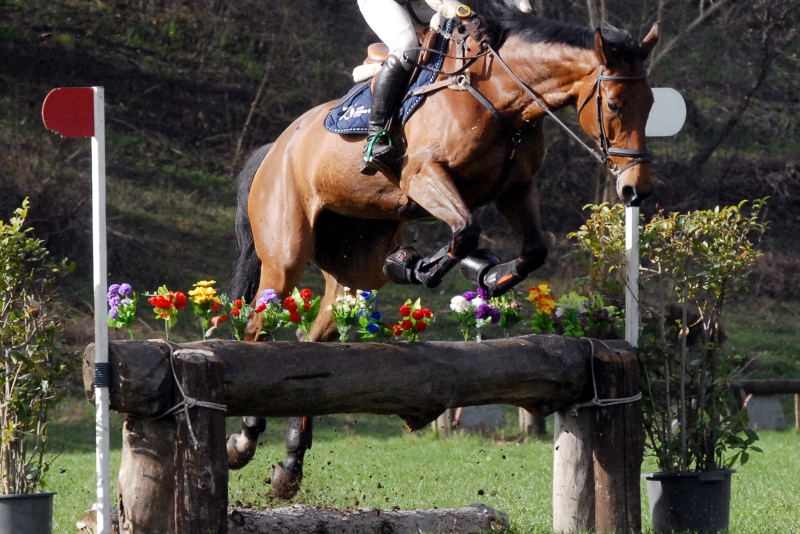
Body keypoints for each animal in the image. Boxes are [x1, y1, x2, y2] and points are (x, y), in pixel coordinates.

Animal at [228, 2, 660, 500]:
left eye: (651, 105)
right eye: (615, 104)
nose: (635, 189)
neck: (501, 96)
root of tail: (276, 147)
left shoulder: (515, 191)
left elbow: (531, 249)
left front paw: (485, 274)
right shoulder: (424, 176)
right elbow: (467, 231)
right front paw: (420, 266)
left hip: (356, 264)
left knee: (316, 343)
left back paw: (290, 465)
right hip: (286, 252)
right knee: (259, 327)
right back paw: (244, 438)